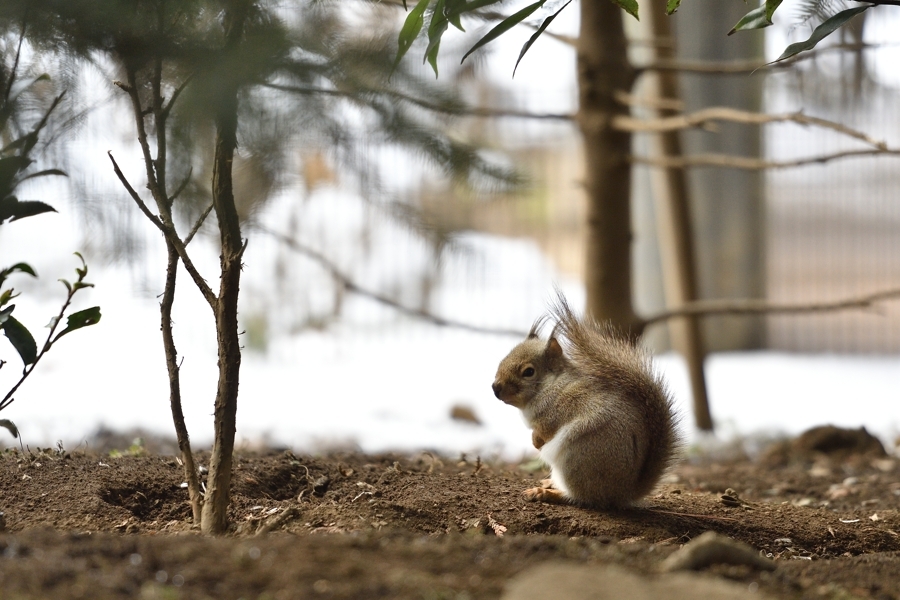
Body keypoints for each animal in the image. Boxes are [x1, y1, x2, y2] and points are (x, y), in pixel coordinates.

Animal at [492, 296, 684, 506]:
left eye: (528, 372)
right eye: (504, 359)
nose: (495, 388)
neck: (551, 385)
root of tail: (621, 494)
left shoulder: (558, 412)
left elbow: (545, 430)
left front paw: (536, 441)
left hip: (577, 459)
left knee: (579, 496)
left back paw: (546, 493)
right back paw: (548, 483)